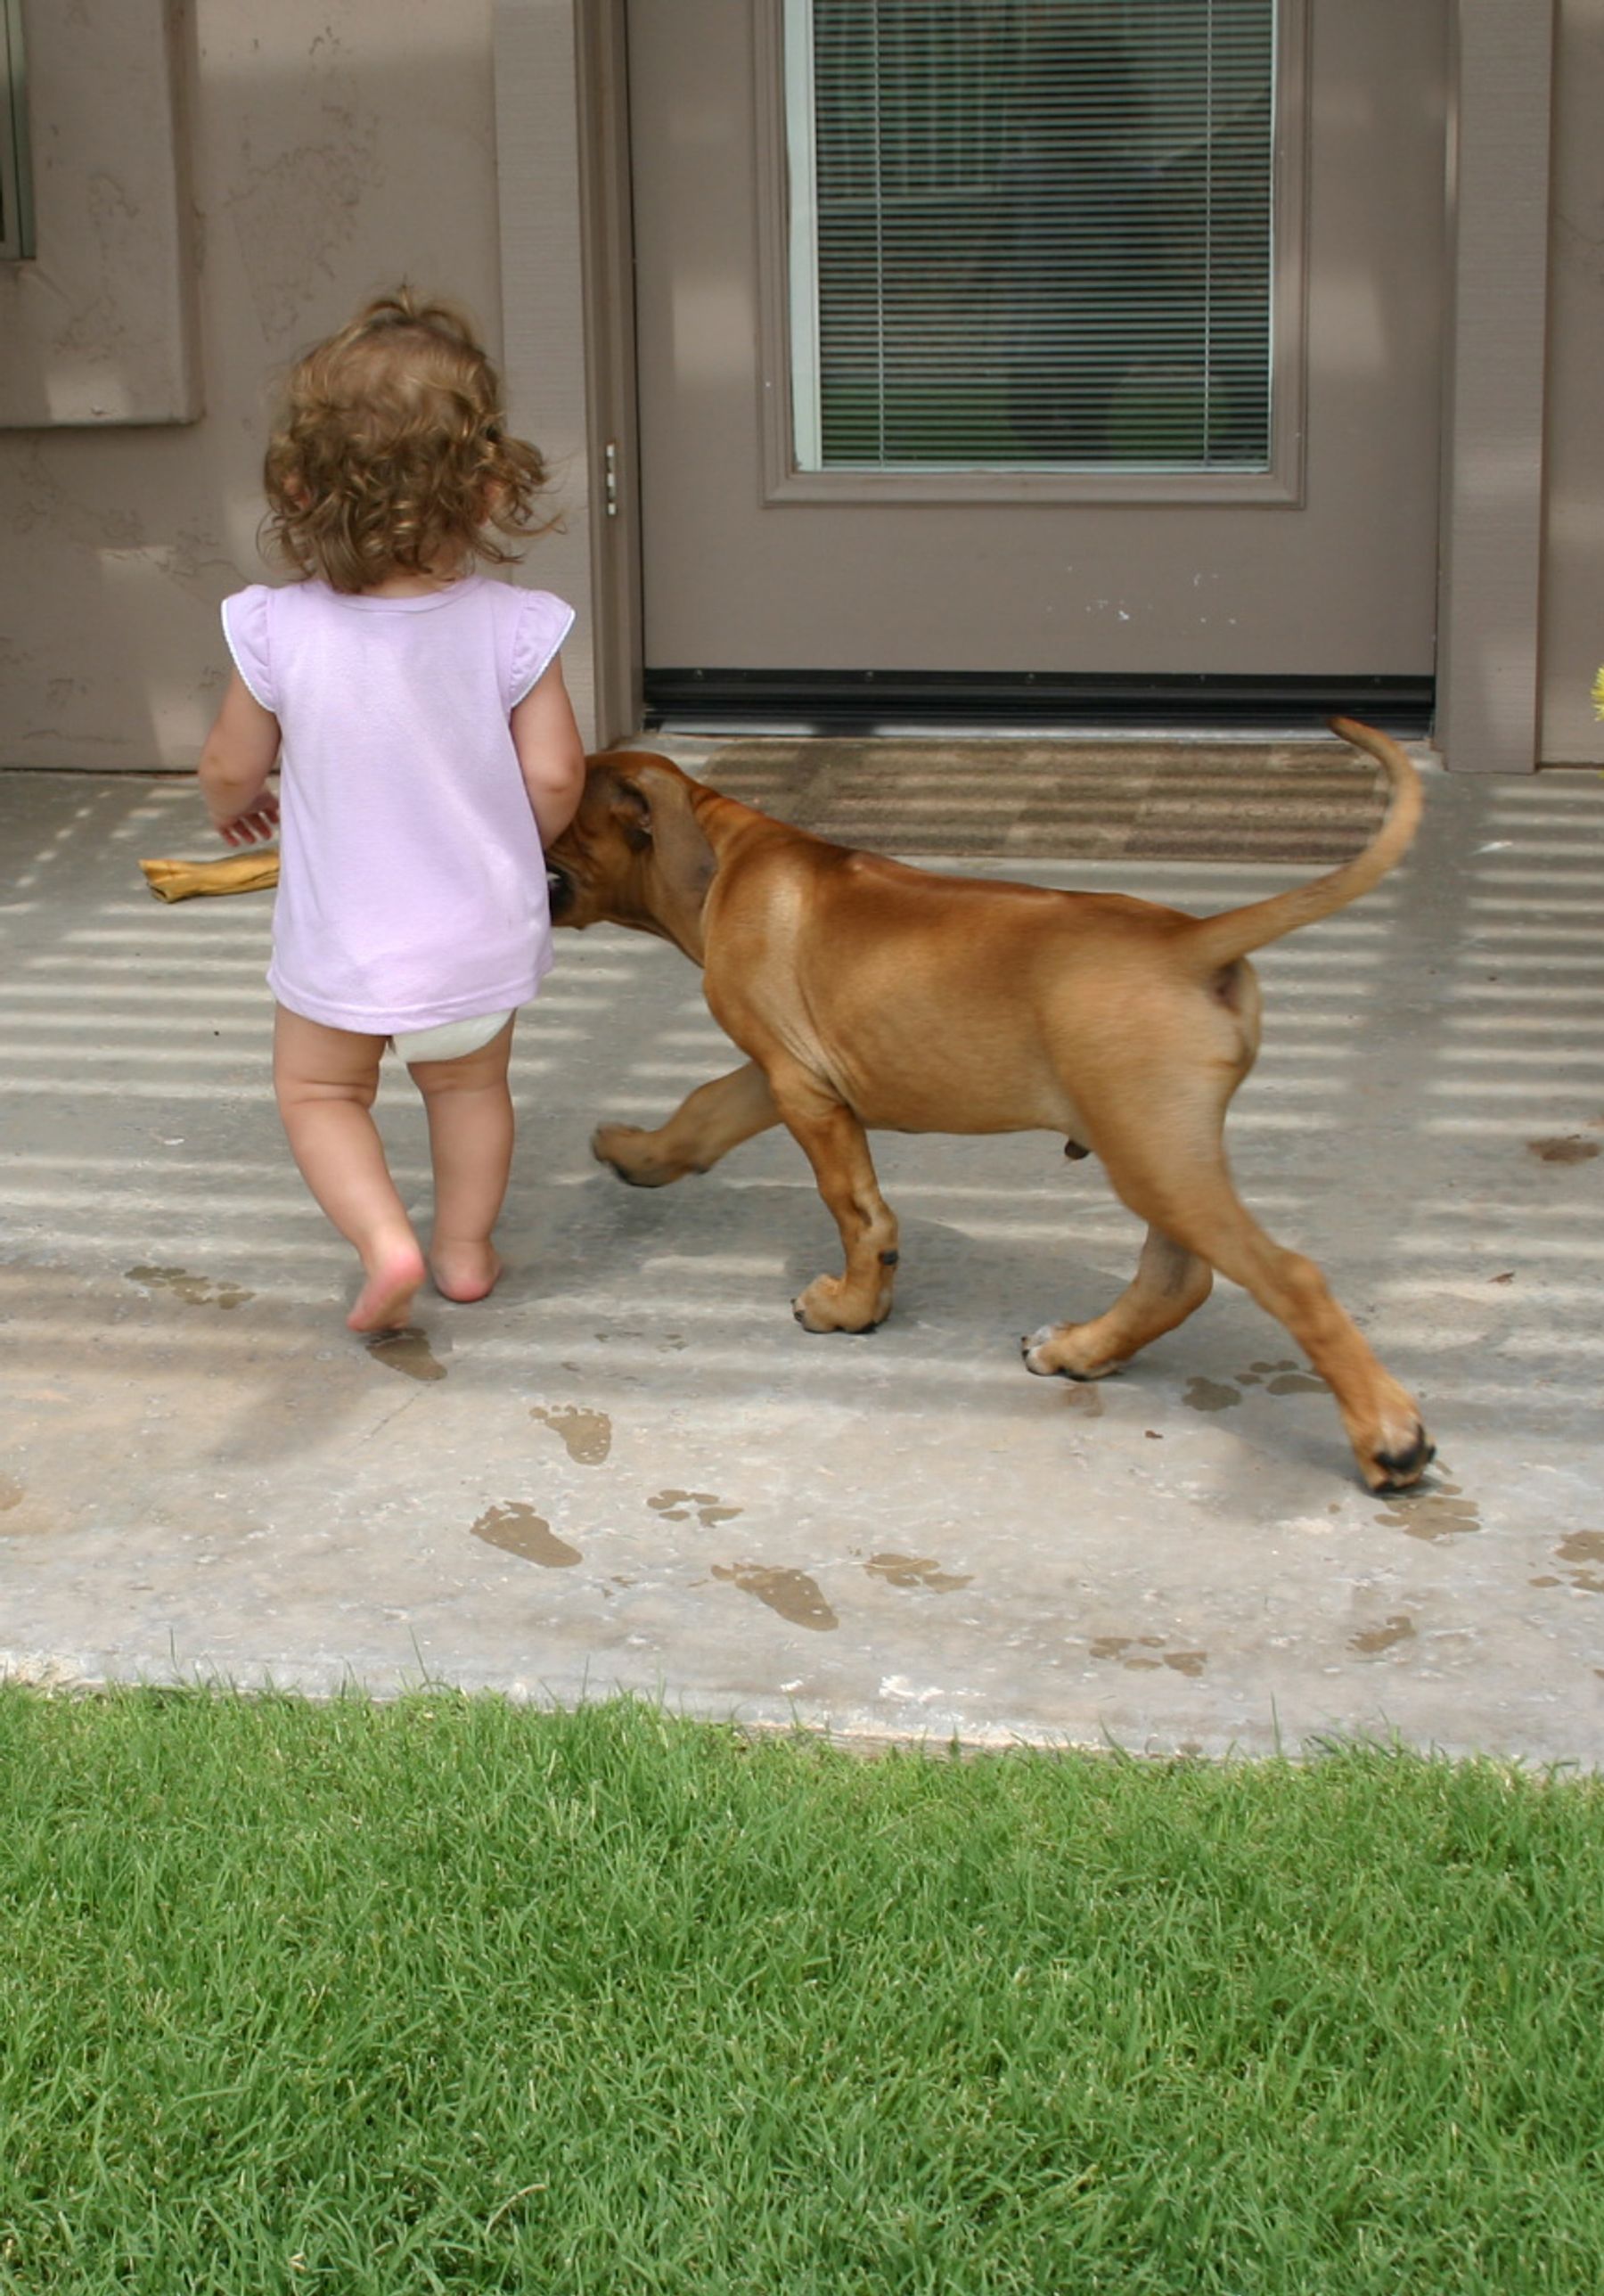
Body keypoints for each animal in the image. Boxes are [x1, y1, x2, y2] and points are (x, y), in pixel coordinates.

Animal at [548, 726, 1431, 1496]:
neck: (720, 852)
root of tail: (1189, 942)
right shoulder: (786, 1071)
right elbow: (706, 1109)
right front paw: (638, 1152)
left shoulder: (803, 1088)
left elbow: (857, 1210)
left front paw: (849, 1308)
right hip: (1159, 1142)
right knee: (1178, 1278)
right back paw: (1080, 1350)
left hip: (1148, 1150)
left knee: (1288, 1278)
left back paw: (1390, 1439)